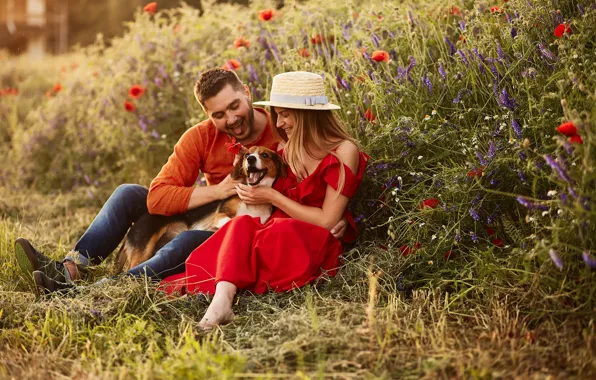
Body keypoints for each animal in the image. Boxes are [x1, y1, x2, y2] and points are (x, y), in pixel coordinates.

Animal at [114, 145, 288, 274]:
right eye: (247, 155)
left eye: (264, 155)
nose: (250, 159)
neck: (251, 200)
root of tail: (133, 227)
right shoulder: (220, 215)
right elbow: (235, 219)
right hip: (143, 251)